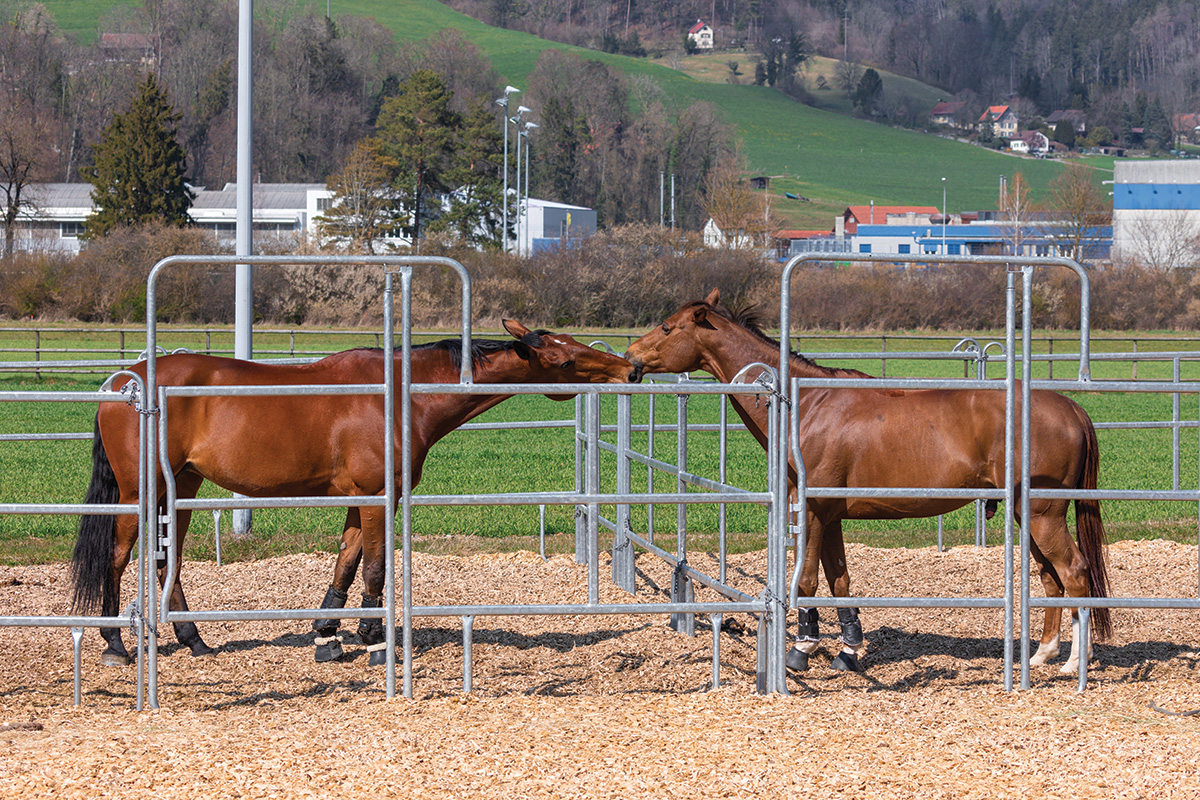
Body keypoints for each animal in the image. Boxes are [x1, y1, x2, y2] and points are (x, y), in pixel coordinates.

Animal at [72, 321, 638, 666]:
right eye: (562, 361)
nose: (629, 368)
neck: (399, 395)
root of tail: (124, 383)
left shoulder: (361, 498)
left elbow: (346, 561)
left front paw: (328, 632)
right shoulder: (376, 495)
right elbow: (375, 568)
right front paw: (374, 639)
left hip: (181, 486)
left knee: (166, 559)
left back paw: (193, 639)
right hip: (137, 492)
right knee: (119, 556)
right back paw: (115, 642)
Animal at [633, 287, 1108, 676]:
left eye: (667, 326)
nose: (632, 356)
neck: (806, 402)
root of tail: (1071, 408)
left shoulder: (811, 512)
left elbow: (806, 581)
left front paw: (801, 650)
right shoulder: (830, 516)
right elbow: (839, 580)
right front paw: (848, 651)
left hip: (1044, 515)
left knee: (1074, 572)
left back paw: (1074, 663)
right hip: (1028, 515)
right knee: (1050, 578)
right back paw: (1042, 654)